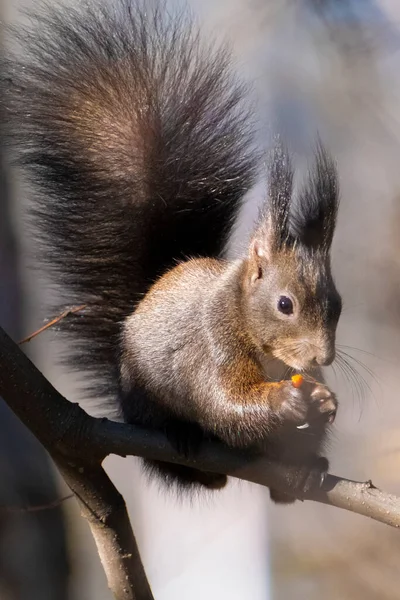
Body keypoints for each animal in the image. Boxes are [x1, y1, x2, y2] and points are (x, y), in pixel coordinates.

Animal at [1, 0, 342, 502]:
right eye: (285, 304)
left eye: (337, 305)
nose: (323, 360)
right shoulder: (211, 345)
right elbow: (225, 402)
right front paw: (286, 399)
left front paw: (321, 401)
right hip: (146, 406)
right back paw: (185, 438)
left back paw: (305, 469)